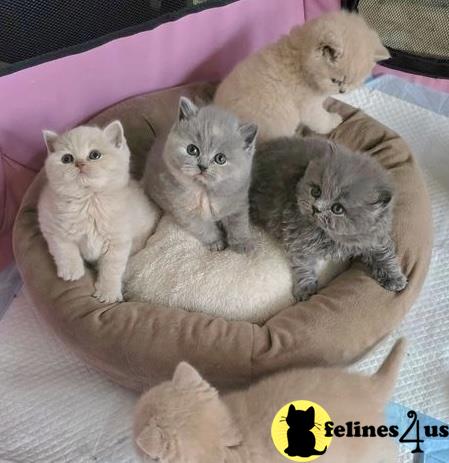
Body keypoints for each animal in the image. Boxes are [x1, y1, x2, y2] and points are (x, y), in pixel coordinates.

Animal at [38, 121, 159, 304]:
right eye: (67, 159)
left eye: (94, 155)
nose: (79, 164)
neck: (89, 201)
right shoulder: (48, 221)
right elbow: (64, 248)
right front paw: (72, 271)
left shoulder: (118, 240)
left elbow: (111, 268)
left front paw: (108, 293)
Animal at [142, 97, 258, 254]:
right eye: (192, 150)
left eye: (220, 158)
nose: (203, 166)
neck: (205, 192)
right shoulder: (186, 211)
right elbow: (204, 228)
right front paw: (216, 243)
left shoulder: (237, 202)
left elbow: (238, 224)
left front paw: (243, 244)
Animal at [214, 10, 388, 141]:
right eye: (336, 81)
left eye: (354, 83)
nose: (343, 91)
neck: (301, 62)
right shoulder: (309, 107)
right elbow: (322, 120)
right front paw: (334, 120)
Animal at [250, 136, 408, 302]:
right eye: (316, 191)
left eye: (337, 209)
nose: (315, 208)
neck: (332, 236)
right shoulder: (297, 239)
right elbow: (302, 264)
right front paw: (305, 288)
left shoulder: (375, 237)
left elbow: (384, 254)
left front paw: (395, 278)